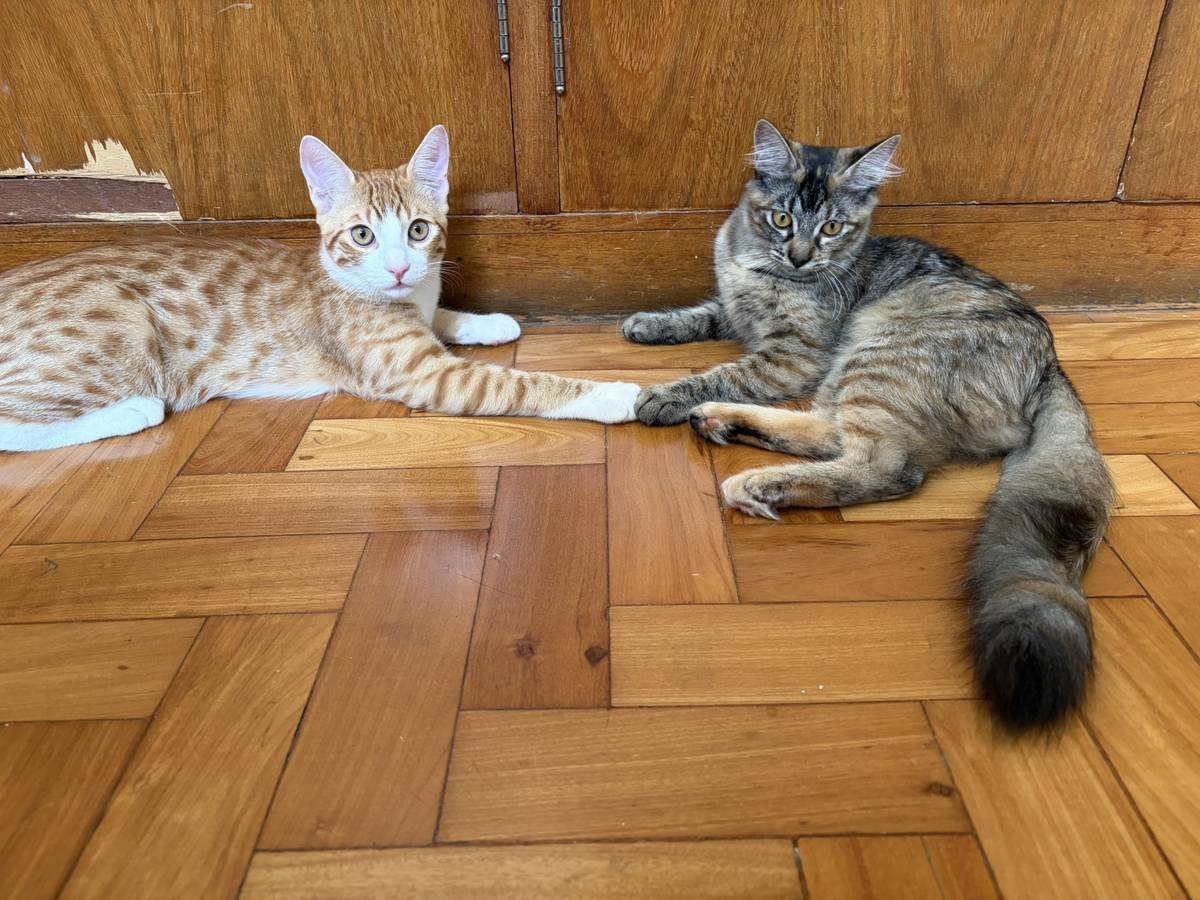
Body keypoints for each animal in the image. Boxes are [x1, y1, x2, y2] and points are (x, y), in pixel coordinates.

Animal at [0, 125, 640, 451]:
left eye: (418, 229)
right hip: (117, 334)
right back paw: (135, 410)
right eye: (361, 234)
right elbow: (524, 385)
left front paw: (485, 320)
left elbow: (441, 312)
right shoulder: (425, 373)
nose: (399, 268)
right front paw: (617, 396)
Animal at [621, 120, 1113, 731]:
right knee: (828, 433)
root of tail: (1051, 366)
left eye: (832, 228)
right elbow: (702, 314)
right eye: (781, 218)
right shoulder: (735, 313)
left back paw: (757, 481)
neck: (761, 266)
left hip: (877, 358)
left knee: (884, 467)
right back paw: (724, 424)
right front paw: (650, 324)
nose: (800, 257)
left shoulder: (791, 356)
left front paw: (664, 394)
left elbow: (722, 372)